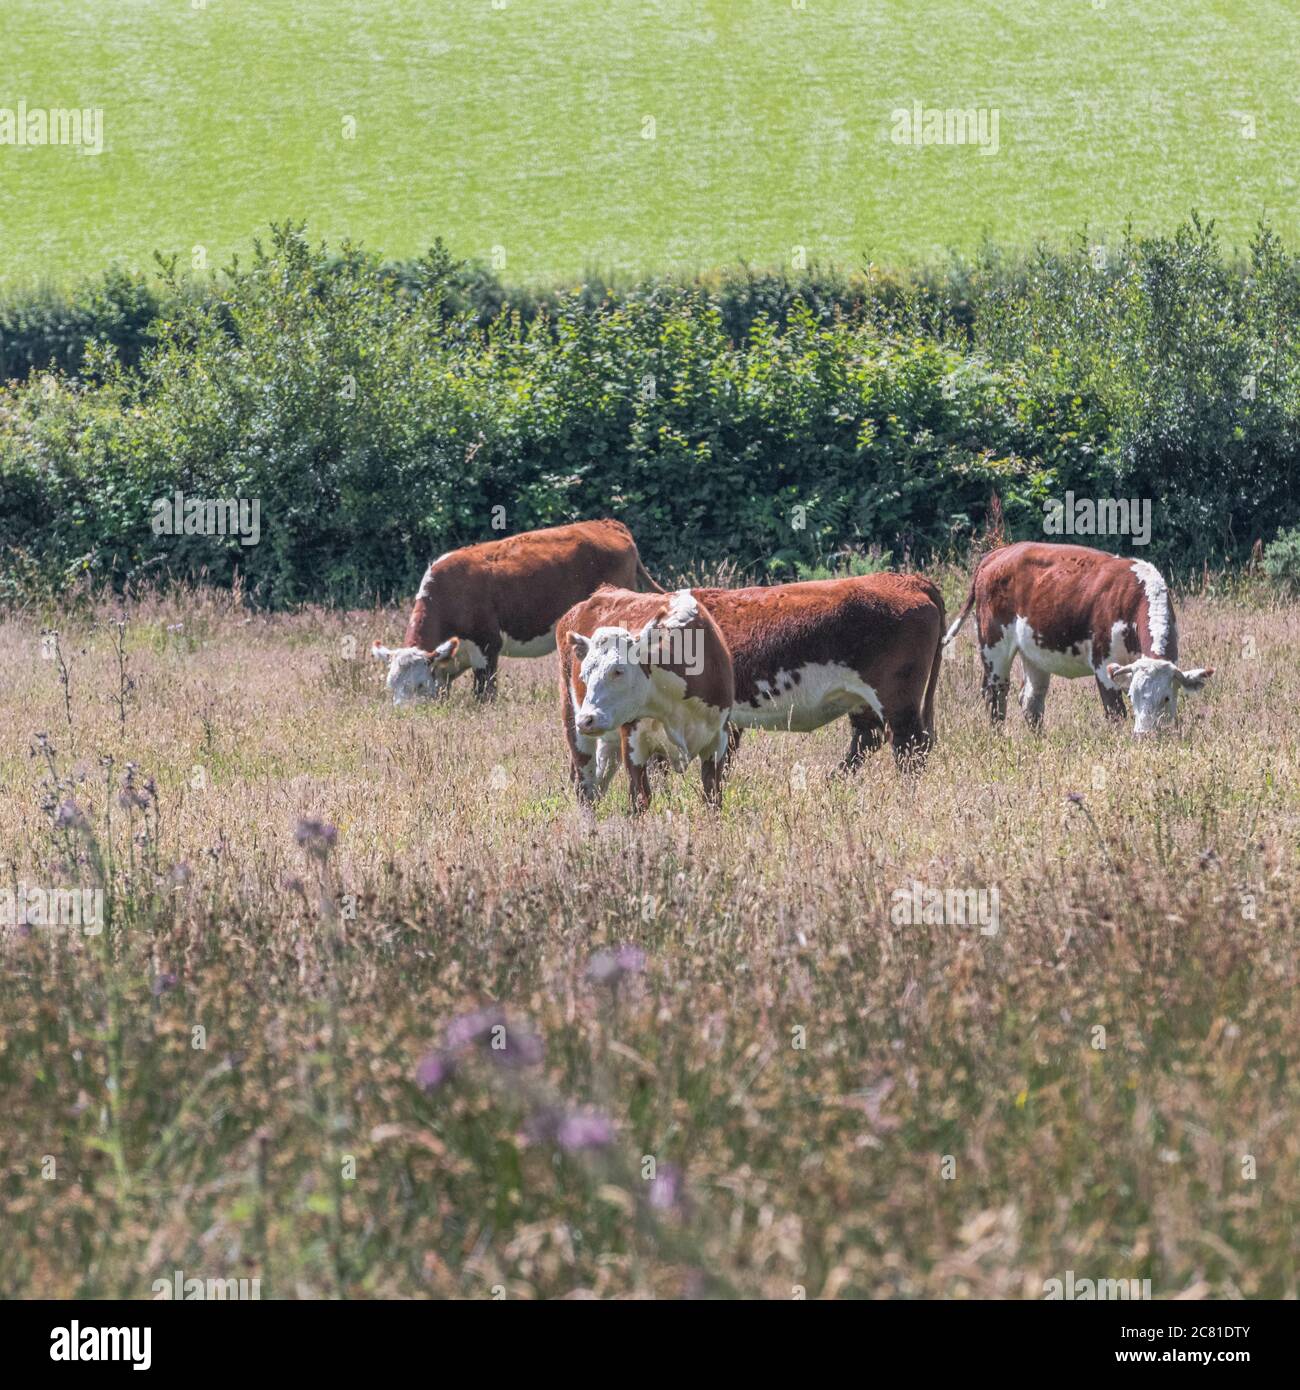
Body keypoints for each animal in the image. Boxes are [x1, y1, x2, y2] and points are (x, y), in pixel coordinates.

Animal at [372, 519, 661, 706]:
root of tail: (608, 524)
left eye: (418, 685)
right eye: (391, 685)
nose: (405, 714)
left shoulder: (488, 646)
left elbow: (484, 695)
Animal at [558, 581, 739, 811]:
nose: (586, 719)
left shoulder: (718, 741)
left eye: (618, 671)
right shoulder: (633, 744)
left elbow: (712, 798)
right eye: (583, 676)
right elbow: (640, 798)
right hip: (575, 726)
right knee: (586, 788)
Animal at [695, 572, 951, 778]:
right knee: (868, 739)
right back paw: (832, 783)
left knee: (908, 745)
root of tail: (910, 580)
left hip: (897, 698)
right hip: (863, 699)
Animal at [945, 542, 1212, 739]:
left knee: (1031, 699)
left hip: (1034, 652)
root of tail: (999, 553)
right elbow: (1115, 713)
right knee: (995, 693)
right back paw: (998, 737)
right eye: (1133, 696)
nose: (1143, 736)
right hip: (993, 646)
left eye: (1166, 697)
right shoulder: (1103, 665)